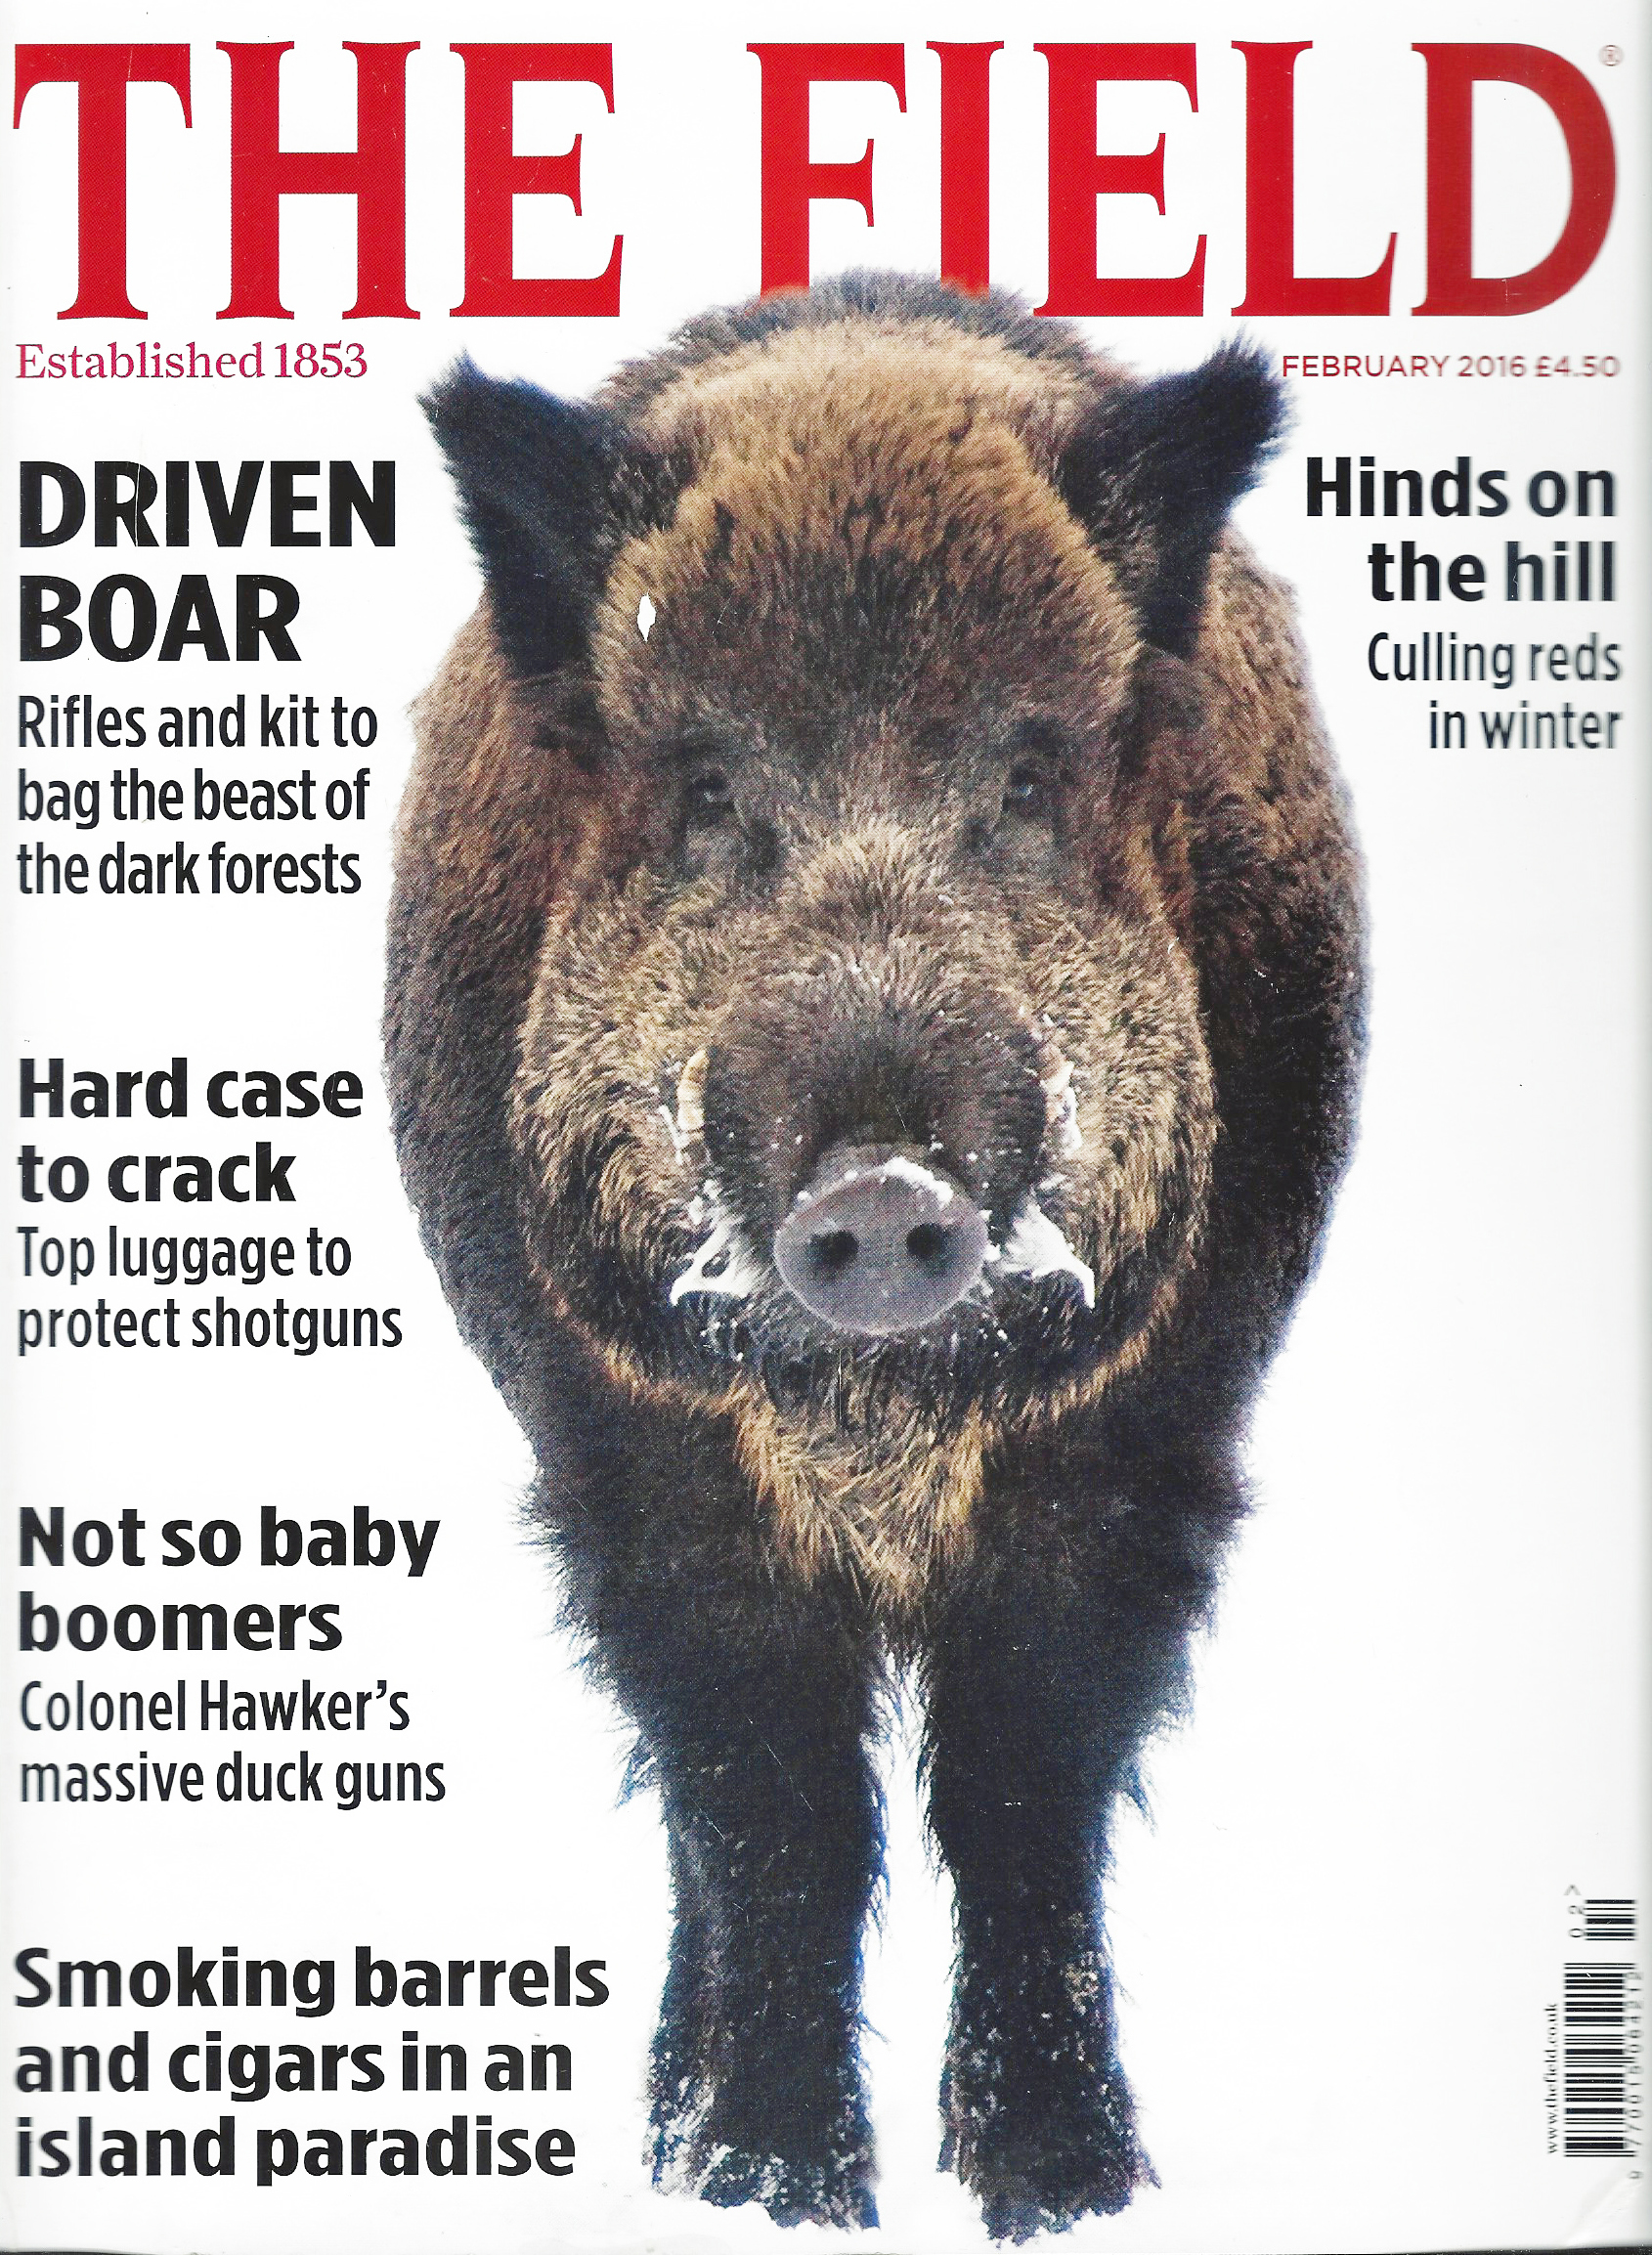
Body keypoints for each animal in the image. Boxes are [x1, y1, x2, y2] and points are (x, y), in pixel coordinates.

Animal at [386, 272, 1364, 2240]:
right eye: (703, 789)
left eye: (1027, 774)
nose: (883, 1183)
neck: (881, 1426)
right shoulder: (633, 1458)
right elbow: (772, 1808)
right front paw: (772, 2193)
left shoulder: (1140, 1439)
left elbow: (1019, 1782)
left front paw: (1063, 2193)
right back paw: (669, 2143)